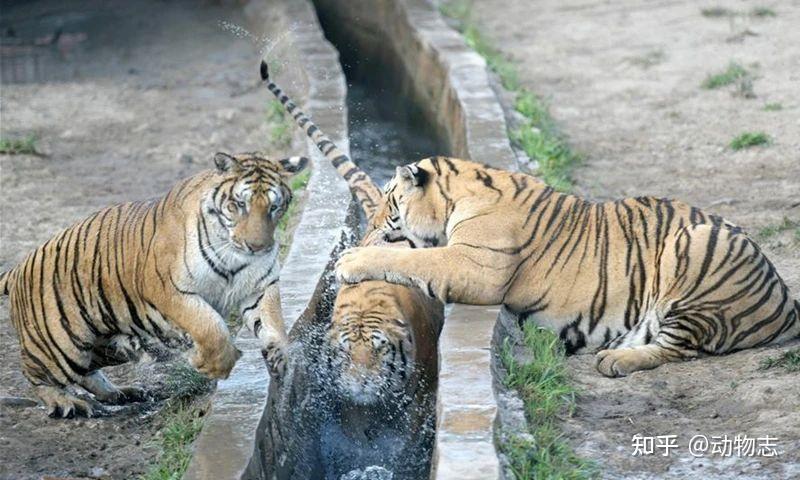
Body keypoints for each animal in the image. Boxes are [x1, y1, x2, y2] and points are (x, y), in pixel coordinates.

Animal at [0, 153, 306, 416]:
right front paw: (211, 365)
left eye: (274, 207)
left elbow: (272, 322)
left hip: (104, 345)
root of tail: (18, 268)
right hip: (62, 345)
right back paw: (67, 403)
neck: (234, 254)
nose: (258, 247)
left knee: (88, 373)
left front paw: (281, 359)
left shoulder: (259, 287)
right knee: (35, 374)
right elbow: (210, 326)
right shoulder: (171, 291)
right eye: (240, 205)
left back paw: (120, 393)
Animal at [338, 157, 800, 376]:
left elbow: (413, 257)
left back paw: (616, 363)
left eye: (388, 200)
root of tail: (785, 298)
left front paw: (351, 260)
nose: (369, 226)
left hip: (696, 246)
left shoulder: (474, 264)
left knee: (680, 348)